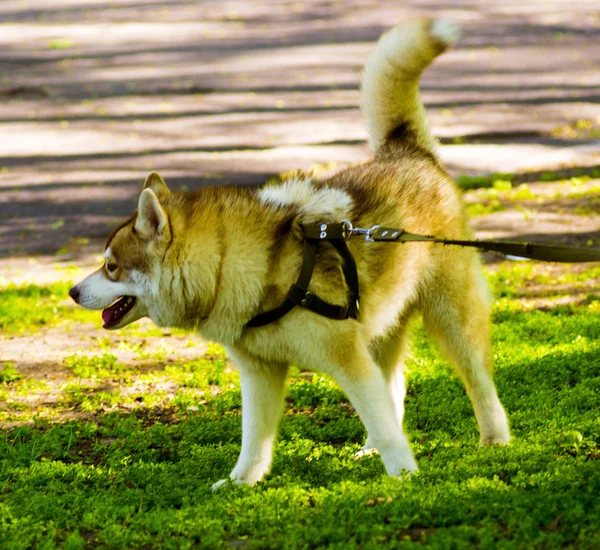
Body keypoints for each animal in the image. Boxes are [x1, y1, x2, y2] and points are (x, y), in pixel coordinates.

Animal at [70, 16, 510, 492]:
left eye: (111, 266)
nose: (73, 292)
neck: (241, 265)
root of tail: (407, 151)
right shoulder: (260, 373)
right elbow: (254, 440)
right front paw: (242, 482)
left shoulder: (348, 361)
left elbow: (378, 417)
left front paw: (404, 475)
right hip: (381, 328)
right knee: (393, 390)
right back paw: (370, 450)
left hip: (451, 317)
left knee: (478, 383)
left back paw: (494, 439)